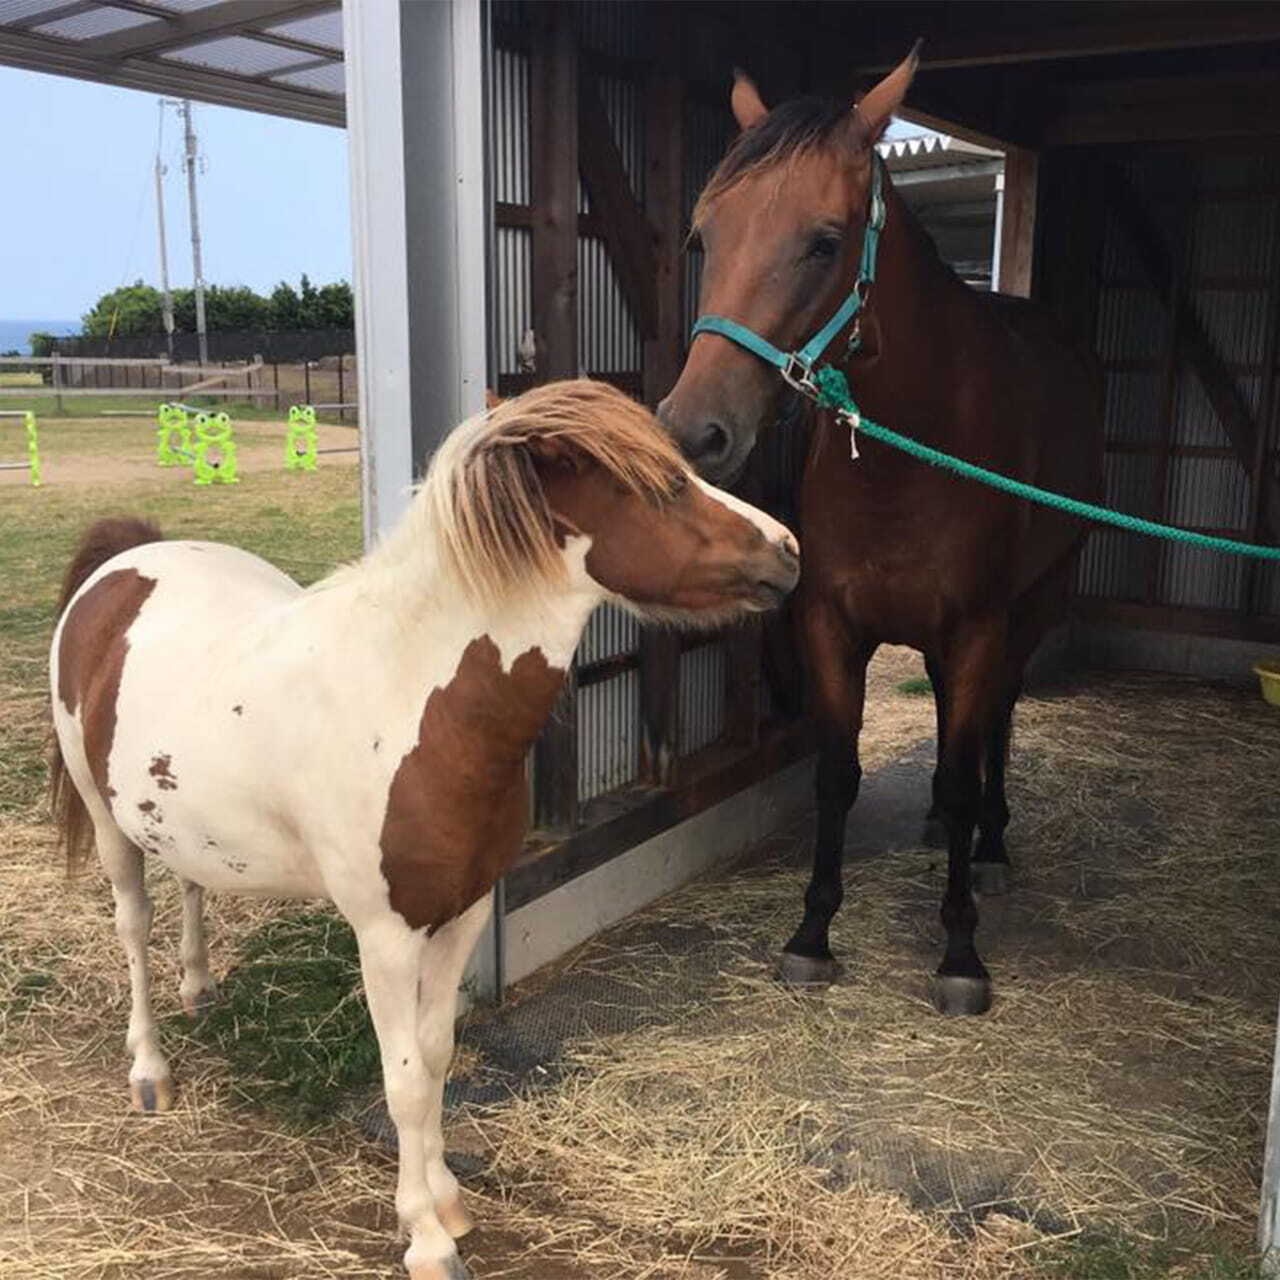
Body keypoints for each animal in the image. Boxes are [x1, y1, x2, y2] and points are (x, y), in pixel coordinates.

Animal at [47, 378, 798, 1280]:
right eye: (660, 488)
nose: (789, 552)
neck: (414, 698)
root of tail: (127, 563)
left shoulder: (464, 912)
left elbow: (437, 1054)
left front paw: (447, 1199)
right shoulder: (386, 935)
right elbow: (403, 1078)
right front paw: (426, 1237)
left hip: (180, 820)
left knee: (192, 880)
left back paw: (198, 989)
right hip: (107, 823)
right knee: (134, 925)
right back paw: (152, 1069)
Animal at [660, 52, 1100, 1018]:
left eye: (824, 243)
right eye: (704, 238)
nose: (695, 432)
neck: (915, 455)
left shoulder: (978, 627)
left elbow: (967, 772)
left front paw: (961, 952)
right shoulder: (831, 625)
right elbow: (837, 775)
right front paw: (812, 934)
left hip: (1034, 605)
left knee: (997, 723)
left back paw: (992, 849)